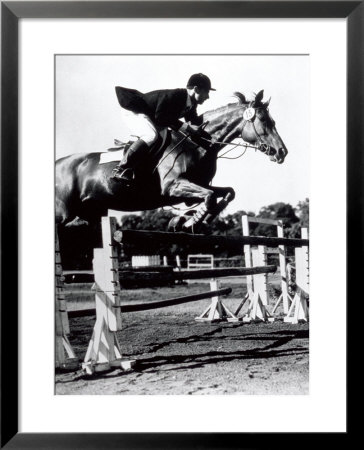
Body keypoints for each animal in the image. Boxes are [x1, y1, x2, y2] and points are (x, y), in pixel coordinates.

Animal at [55, 90, 288, 234]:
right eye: (264, 120)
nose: (282, 152)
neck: (197, 143)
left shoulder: (196, 185)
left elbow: (225, 193)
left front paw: (193, 220)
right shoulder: (172, 187)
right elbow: (210, 197)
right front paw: (187, 221)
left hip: (93, 211)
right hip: (62, 212)